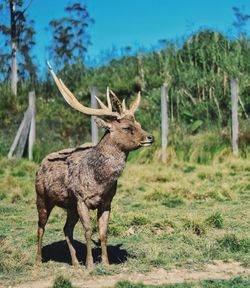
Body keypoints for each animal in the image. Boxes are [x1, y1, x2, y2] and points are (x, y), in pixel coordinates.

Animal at [35, 63, 154, 270]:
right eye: (126, 127)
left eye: (138, 123)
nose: (150, 137)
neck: (99, 181)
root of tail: (40, 163)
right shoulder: (81, 199)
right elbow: (88, 230)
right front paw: (90, 264)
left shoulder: (106, 201)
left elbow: (103, 231)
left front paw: (105, 262)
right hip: (42, 197)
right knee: (40, 227)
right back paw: (38, 261)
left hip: (69, 206)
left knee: (66, 229)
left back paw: (75, 263)